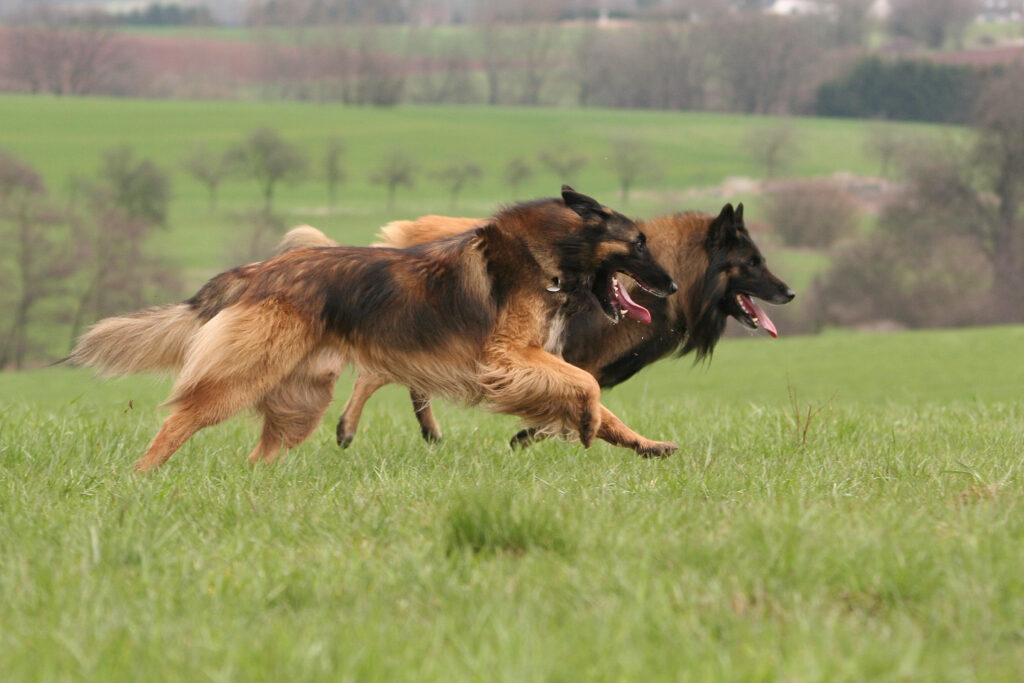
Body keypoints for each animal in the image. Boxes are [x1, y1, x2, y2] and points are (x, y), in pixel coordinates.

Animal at [70, 189, 679, 473]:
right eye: (639, 242)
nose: (673, 287)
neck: (550, 253)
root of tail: (257, 271)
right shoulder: (506, 358)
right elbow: (589, 386)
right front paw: (587, 423)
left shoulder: (527, 361)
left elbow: (596, 399)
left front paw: (643, 443)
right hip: (243, 376)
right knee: (180, 420)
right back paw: (141, 477)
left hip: (301, 399)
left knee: (259, 453)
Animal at [307, 202, 794, 448]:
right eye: (753, 263)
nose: (789, 292)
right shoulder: (551, 357)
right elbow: (573, 401)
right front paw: (530, 437)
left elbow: (576, 403)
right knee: (376, 374)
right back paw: (351, 429)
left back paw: (426, 431)